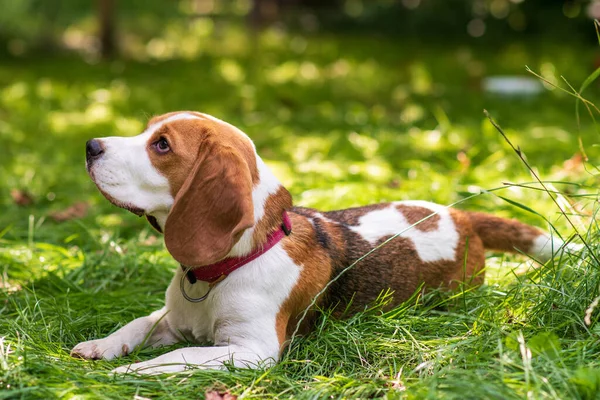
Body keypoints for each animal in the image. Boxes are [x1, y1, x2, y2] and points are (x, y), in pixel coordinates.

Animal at [72, 111, 568, 376]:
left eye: (161, 146)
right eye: (147, 130)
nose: (90, 145)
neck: (220, 272)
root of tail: (460, 215)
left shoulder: (251, 350)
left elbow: (183, 355)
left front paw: (133, 372)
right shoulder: (174, 318)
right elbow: (138, 323)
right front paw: (102, 346)